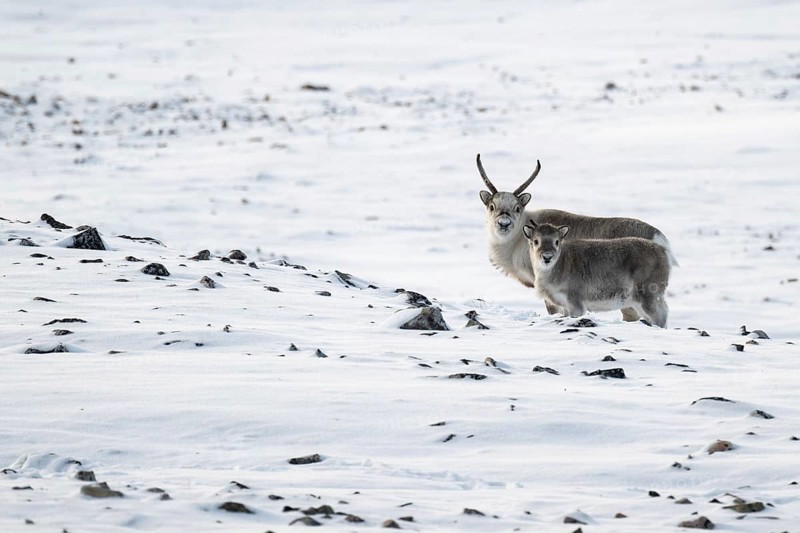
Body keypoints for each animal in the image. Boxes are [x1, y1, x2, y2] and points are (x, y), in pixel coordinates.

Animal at [522, 221, 670, 327]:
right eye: (536, 241)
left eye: (557, 241)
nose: (547, 257)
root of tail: (663, 252)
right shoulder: (563, 304)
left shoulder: (575, 301)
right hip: (636, 301)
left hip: (649, 293)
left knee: (661, 313)